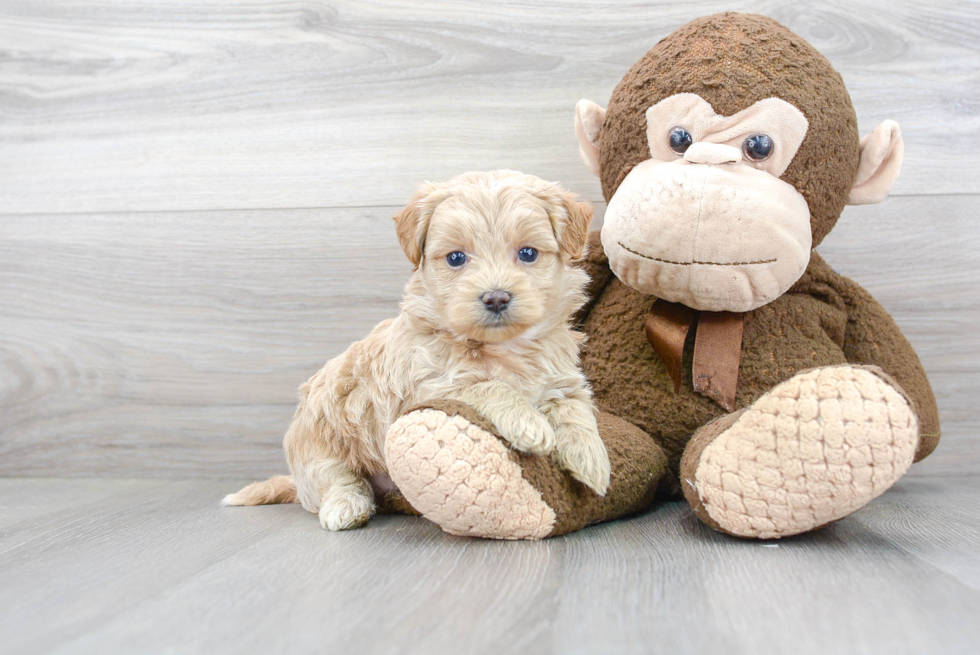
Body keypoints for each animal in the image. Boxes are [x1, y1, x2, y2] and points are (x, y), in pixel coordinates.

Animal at [227, 170, 612, 532]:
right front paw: (528, 422)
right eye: (456, 258)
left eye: (528, 253)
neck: (502, 347)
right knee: (335, 480)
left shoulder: (562, 379)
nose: (496, 297)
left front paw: (592, 458)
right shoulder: (426, 387)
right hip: (318, 447)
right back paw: (346, 507)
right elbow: (487, 385)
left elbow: (575, 410)